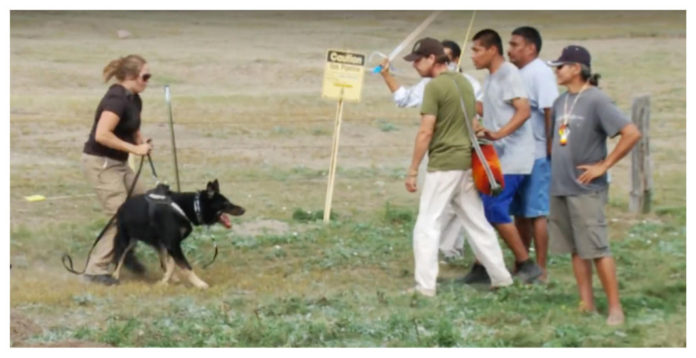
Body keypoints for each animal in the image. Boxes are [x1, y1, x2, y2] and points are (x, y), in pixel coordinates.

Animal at [112, 179, 245, 288]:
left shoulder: (171, 245)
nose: (244, 210)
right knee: (119, 259)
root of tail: (122, 206)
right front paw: (199, 283)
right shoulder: (173, 244)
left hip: (158, 244)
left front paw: (164, 281)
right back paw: (114, 277)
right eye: (226, 204)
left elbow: (172, 265)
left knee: (163, 263)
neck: (190, 207)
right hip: (126, 241)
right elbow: (186, 266)